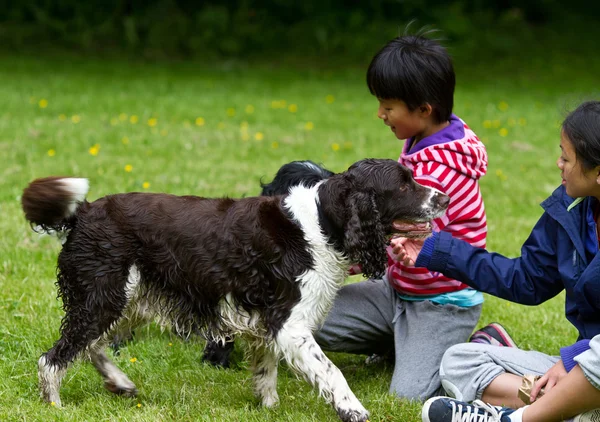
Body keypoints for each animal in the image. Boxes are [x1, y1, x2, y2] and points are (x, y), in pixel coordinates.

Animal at [22, 159, 446, 422]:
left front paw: (268, 407)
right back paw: (55, 406)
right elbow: (331, 371)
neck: (322, 224)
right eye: (404, 184)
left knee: (91, 345)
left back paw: (119, 383)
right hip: (104, 295)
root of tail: (83, 213)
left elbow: (265, 370)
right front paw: (352, 409)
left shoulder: (267, 318)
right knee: (54, 358)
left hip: (126, 300)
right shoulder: (289, 323)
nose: (442, 197)